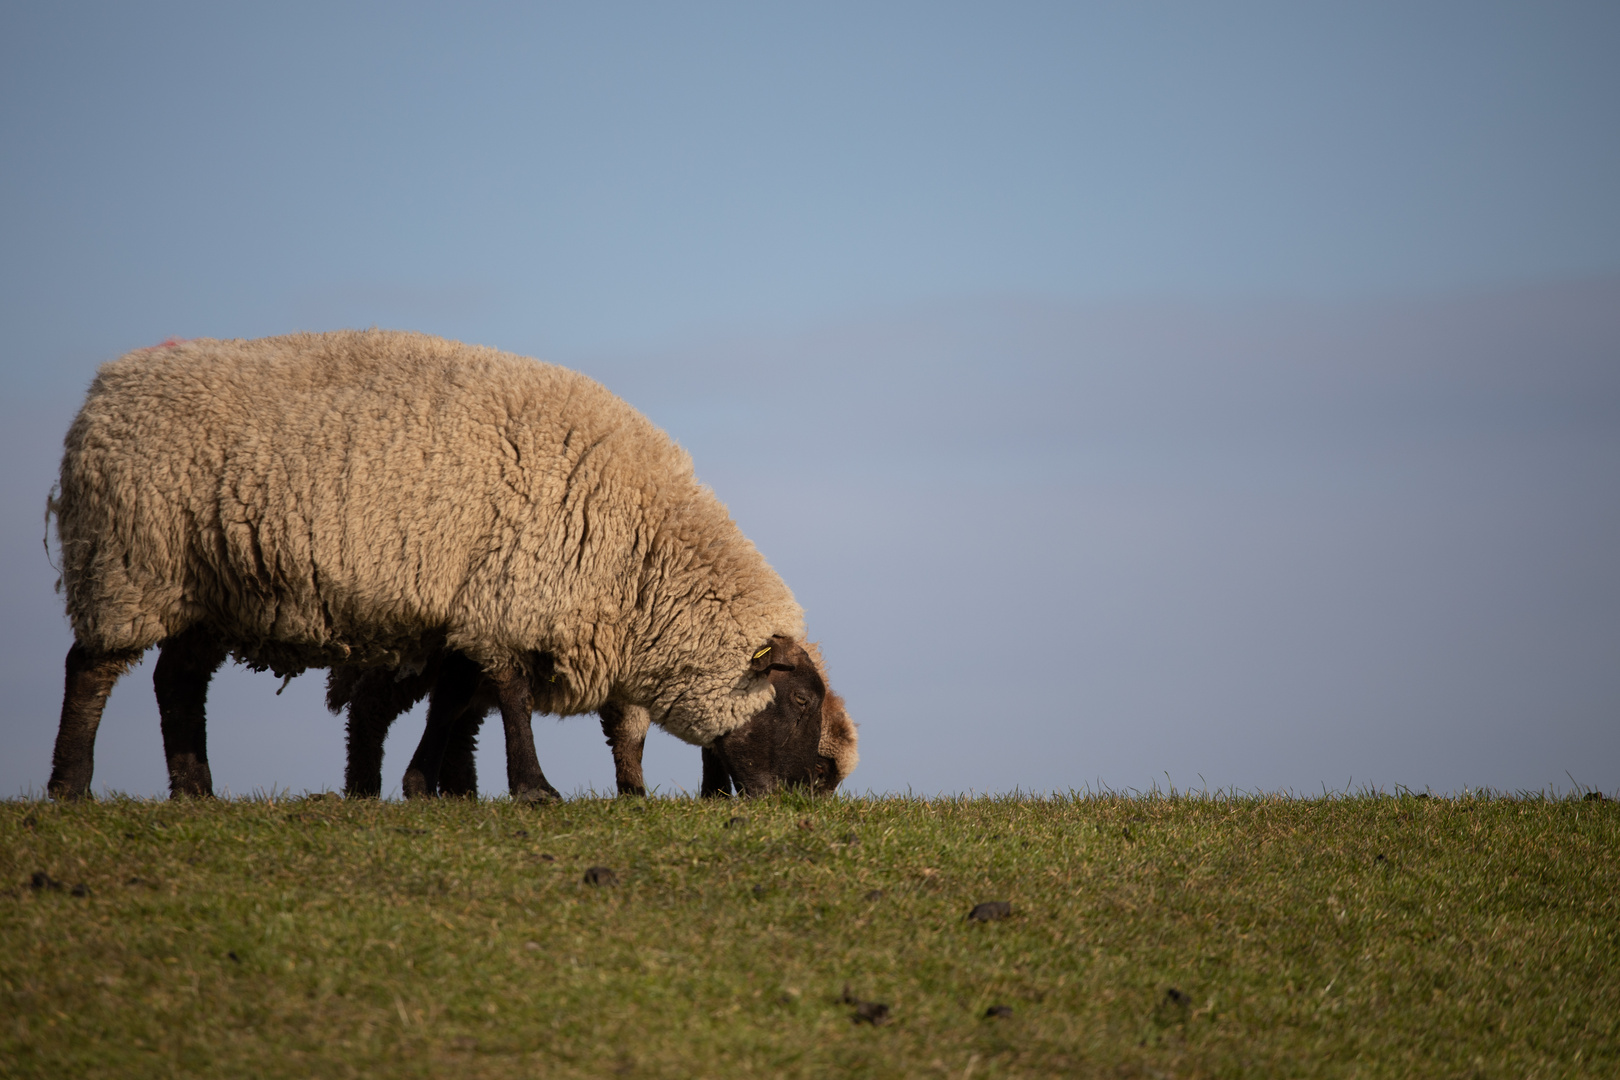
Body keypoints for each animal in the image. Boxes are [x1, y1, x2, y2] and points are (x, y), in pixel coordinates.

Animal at [44, 330, 861, 803]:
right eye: (796, 699)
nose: (821, 788)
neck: (641, 552)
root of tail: (104, 387)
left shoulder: (471, 609)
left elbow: (460, 704)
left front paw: (429, 786)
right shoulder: (507, 598)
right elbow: (508, 700)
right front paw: (532, 790)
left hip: (207, 589)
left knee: (176, 682)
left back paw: (195, 790)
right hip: (128, 561)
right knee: (91, 669)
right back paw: (71, 785)